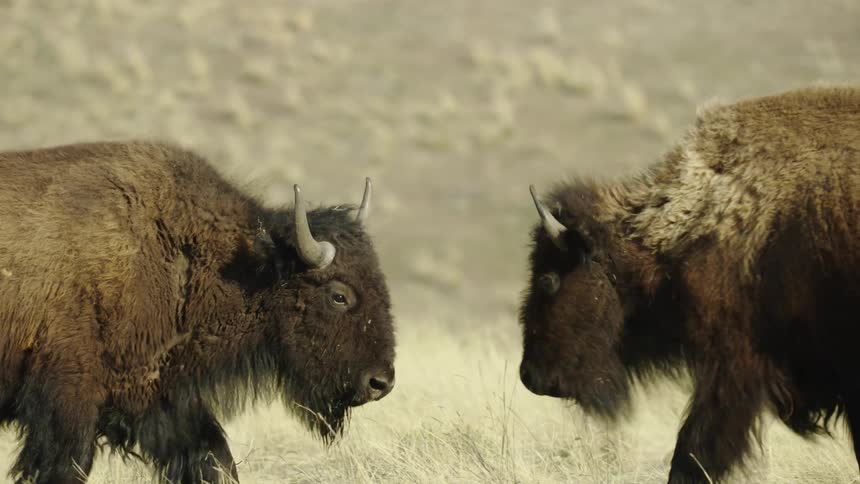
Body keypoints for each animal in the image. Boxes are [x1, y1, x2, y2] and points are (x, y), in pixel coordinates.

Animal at [0, 141, 397, 484]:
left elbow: (214, 459)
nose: (381, 382)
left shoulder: (161, 395)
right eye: (339, 295)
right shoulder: (70, 401)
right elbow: (67, 466)